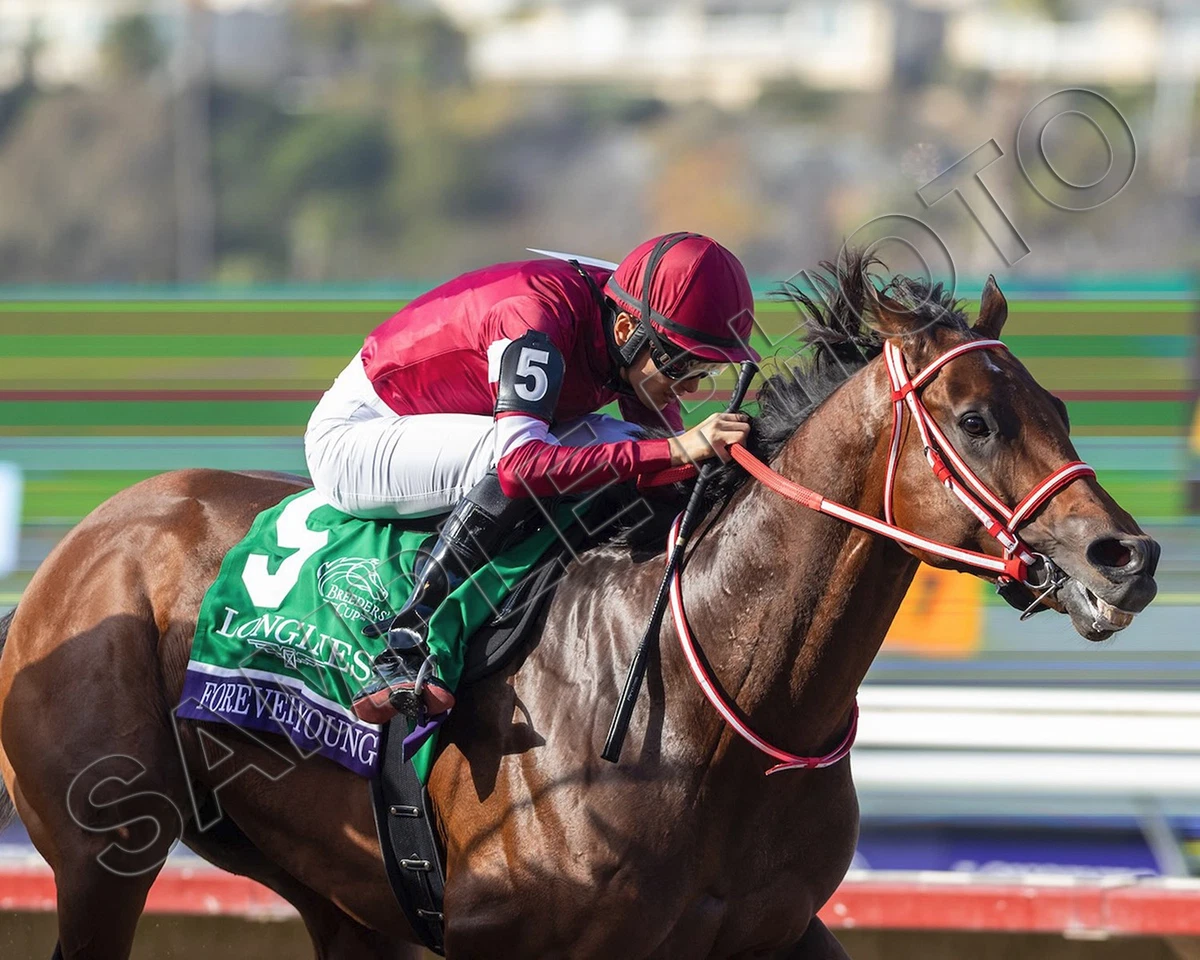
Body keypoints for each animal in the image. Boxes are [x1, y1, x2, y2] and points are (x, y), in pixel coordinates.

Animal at [0, 255, 1160, 959]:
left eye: (1058, 406)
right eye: (974, 420)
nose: (1129, 556)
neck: (713, 707)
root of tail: (90, 536)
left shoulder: (780, 927)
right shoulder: (502, 935)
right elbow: (523, 453)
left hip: (338, 893)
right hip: (103, 858)